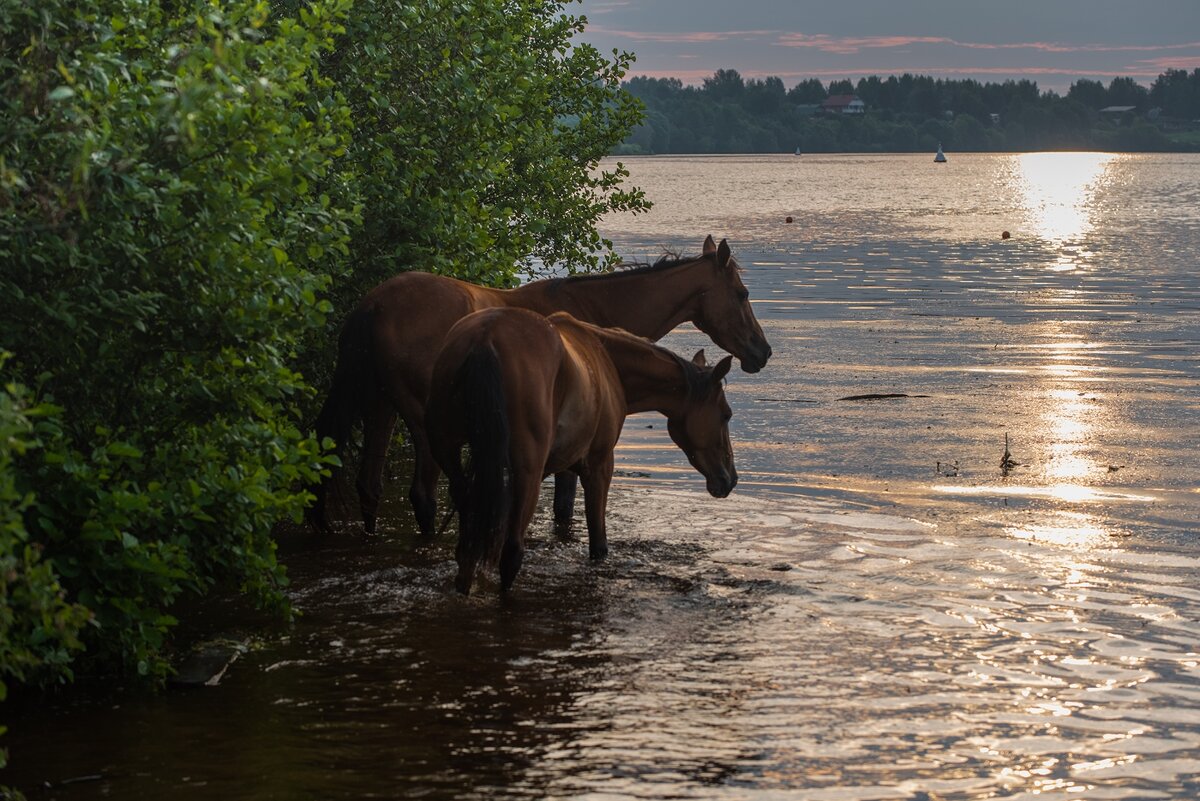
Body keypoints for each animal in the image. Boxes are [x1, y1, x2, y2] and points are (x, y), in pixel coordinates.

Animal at [309, 237, 768, 537]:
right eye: (742, 293)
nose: (761, 351)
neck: (594, 315)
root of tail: (373, 305)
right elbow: (564, 507)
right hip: (423, 425)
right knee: (422, 496)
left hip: (381, 408)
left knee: (369, 486)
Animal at [427, 306, 734, 594]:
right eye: (726, 415)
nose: (730, 479)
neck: (607, 360)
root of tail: (485, 338)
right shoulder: (599, 467)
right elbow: (598, 544)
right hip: (526, 475)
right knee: (511, 554)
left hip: (452, 461)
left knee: (466, 553)